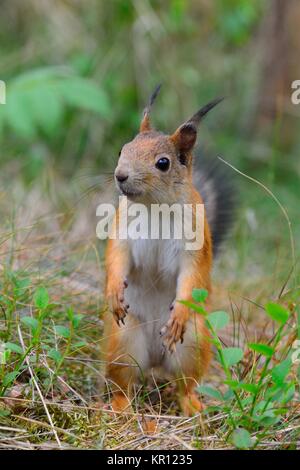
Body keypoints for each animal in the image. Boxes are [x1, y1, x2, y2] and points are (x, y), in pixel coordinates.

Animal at [103, 84, 234, 414]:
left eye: (163, 162)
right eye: (121, 150)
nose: (120, 175)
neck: (155, 208)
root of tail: (154, 361)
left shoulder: (196, 244)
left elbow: (191, 275)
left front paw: (179, 313)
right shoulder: (122, 230)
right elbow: (117, 258)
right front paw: (114, 290)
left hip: (193, 343)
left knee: (185, 384)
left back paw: (193, 407)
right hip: (123, 340)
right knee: (124, 381)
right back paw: (121, 406)